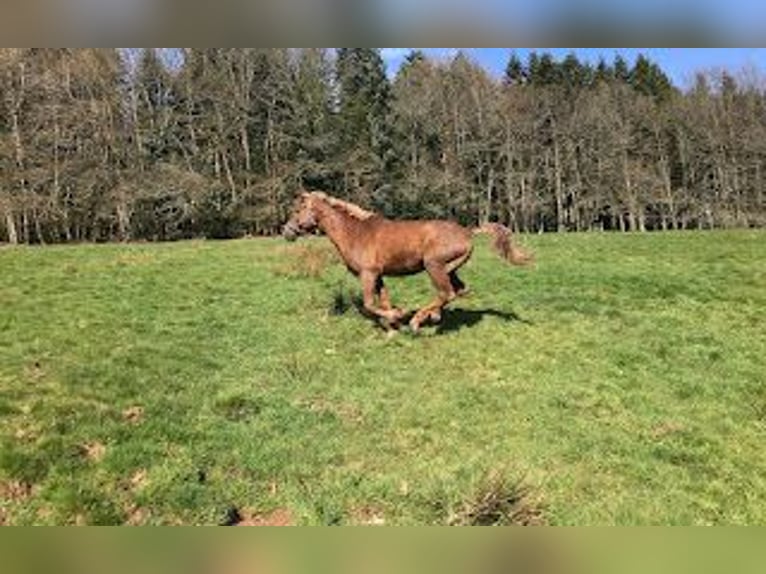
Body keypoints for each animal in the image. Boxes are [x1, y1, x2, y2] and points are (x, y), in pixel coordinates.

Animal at [284, 191, 536, 332]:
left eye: (297, 210)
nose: (286, 231)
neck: (355, 233)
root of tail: (467, 231)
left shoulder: (368, 274)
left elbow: (369, 304)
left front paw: (400, 316)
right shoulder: (378, 275)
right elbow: (383, 302)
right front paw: (392, 325)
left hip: (433, 266)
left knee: (447, 293)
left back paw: (418, 321)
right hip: (449, 269)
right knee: (459, 290)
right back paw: (433, 316)